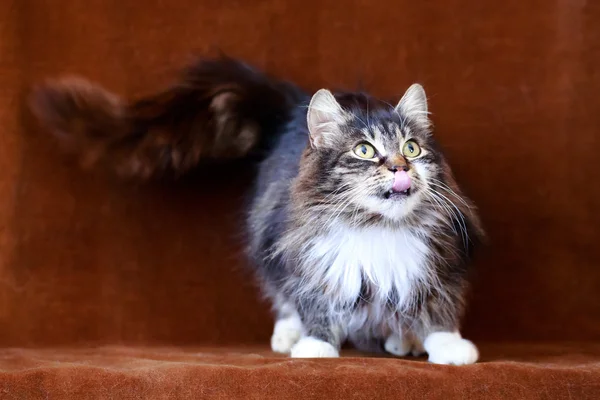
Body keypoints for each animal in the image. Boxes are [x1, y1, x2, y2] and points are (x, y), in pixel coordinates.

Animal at [30, 56, 486, 366]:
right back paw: (288, 335)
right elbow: (314, 303)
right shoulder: (306, 260)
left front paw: (447, 346)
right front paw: (316, 345)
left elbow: (439, 309)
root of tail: (291, 108)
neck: (378, 229)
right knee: (281, 297)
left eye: (412, 147)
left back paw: (404, 340)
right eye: (364, 150)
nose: (400, 166)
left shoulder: (438, 264)